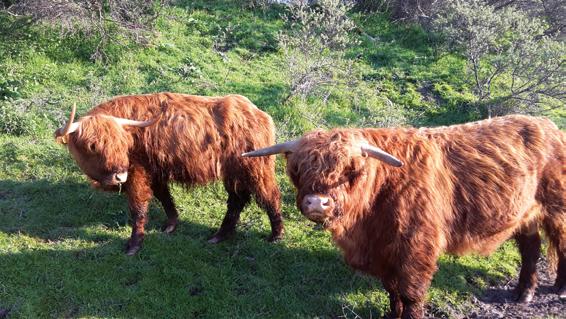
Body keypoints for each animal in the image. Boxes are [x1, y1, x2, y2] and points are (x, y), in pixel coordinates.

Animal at [55, 92, 284, 255]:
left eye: (121, 144)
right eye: (92, 145)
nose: (119, 176)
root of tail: (259, 113)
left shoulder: (137, 173)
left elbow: (138, 208)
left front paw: (134, 245)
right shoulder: (155, 171)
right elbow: (164, 197)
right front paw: (171, 225)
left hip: (256, 169)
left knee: (269, 196)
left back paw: (276, 235)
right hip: (234, 173)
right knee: (237, 200)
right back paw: (220, 236)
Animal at [244, 115, 566, 319]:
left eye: (351, 170)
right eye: (297, 169)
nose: (316, 202)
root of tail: (549, 125)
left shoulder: (416, 247)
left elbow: (411, 292)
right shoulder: (384, 251)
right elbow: (392, 289)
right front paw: (391, 314)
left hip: (557, 208)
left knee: (559, 244)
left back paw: (559, 288)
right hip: (525, 213)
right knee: (531, 248)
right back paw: (523, 293)